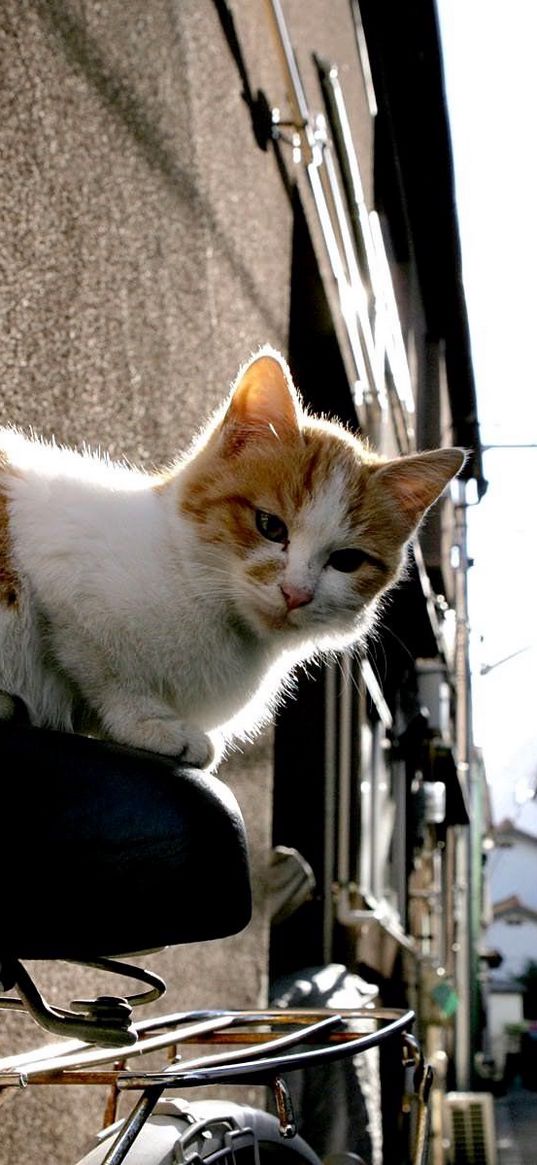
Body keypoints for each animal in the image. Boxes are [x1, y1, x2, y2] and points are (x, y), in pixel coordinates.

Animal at [0, 347, 461, 764]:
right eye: (270, 526)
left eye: (347, 561)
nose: (296, 593)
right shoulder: (60, 566)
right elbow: (105, 669)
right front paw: (152, 722)